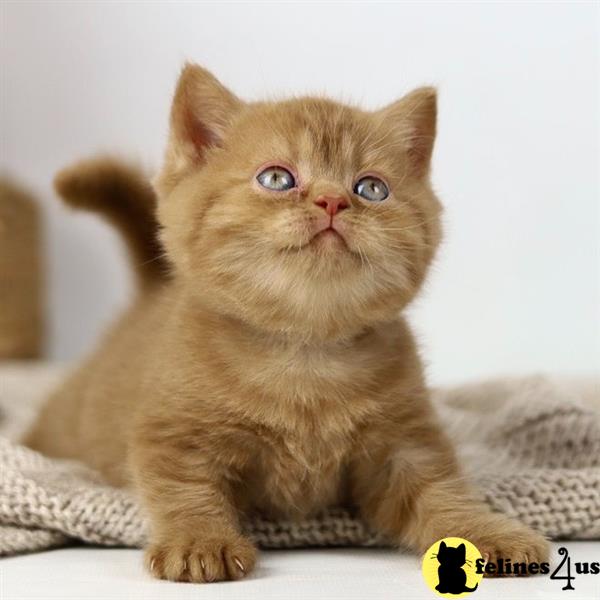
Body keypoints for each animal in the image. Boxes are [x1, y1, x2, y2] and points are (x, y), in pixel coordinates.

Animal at [23, 62, 548, 580]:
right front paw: (199, 542)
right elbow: (183, 488)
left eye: (371, 188)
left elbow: (442, 490)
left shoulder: (406, 444)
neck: (305, 353)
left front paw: (487, 533)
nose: (333, 201)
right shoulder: (174, 434)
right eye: (276, 179)